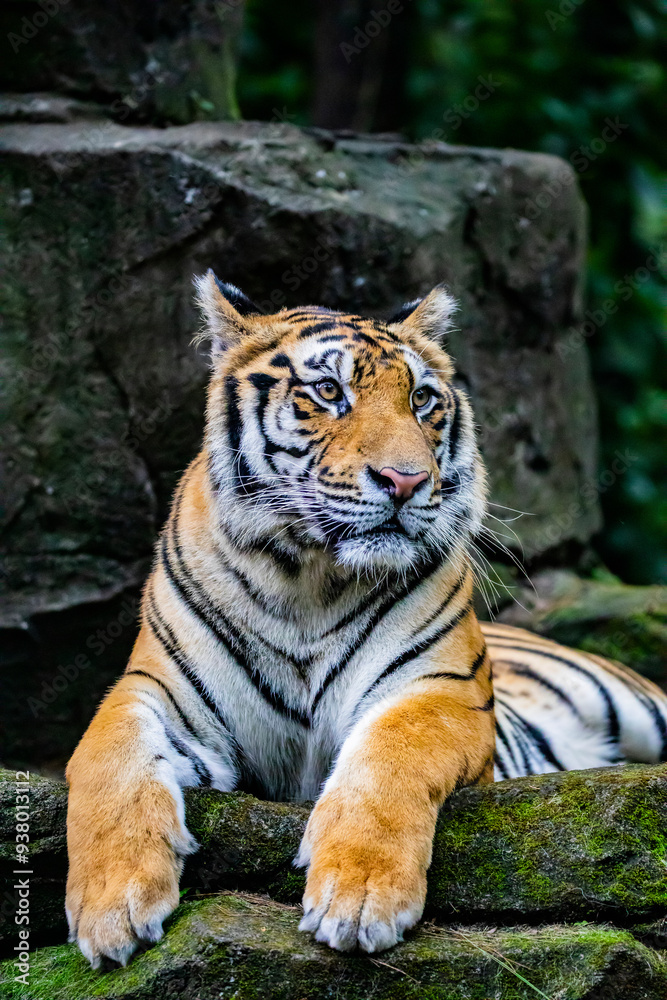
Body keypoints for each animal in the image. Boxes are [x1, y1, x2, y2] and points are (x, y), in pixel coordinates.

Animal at [65, 272, 667, 967]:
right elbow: (106, 759)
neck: (306, 578)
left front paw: (358, 898)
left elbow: (390, 756)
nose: (405, 482)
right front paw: (112, 907)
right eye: (329, 391)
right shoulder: (153, 690)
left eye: (422, 399)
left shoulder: (441, 689)